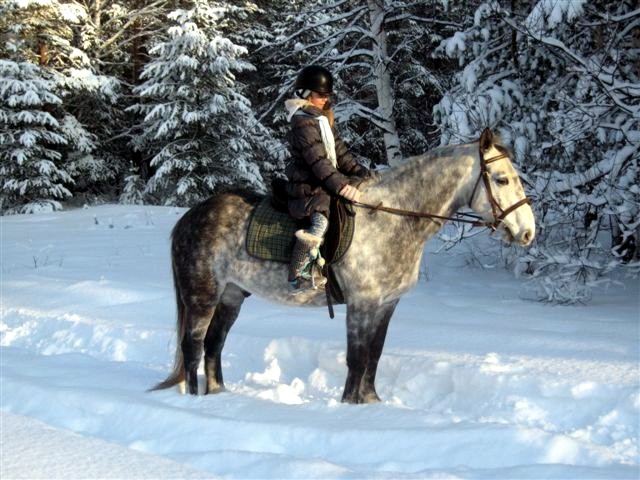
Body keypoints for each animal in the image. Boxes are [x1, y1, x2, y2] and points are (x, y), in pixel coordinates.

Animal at [151, 128, 536, 404]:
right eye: (501, 178)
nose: (527, 232)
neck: (390, 219)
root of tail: (191, 217)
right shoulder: (361, 303)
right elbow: (358, 357)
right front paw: (351, 407)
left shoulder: (386, 304)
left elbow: (374, 356)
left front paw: (371, 403)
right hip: (203, 296)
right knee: (193, 347)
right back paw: (193, 401)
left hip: (231, 295)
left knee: (214, 345)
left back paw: (218, 396)